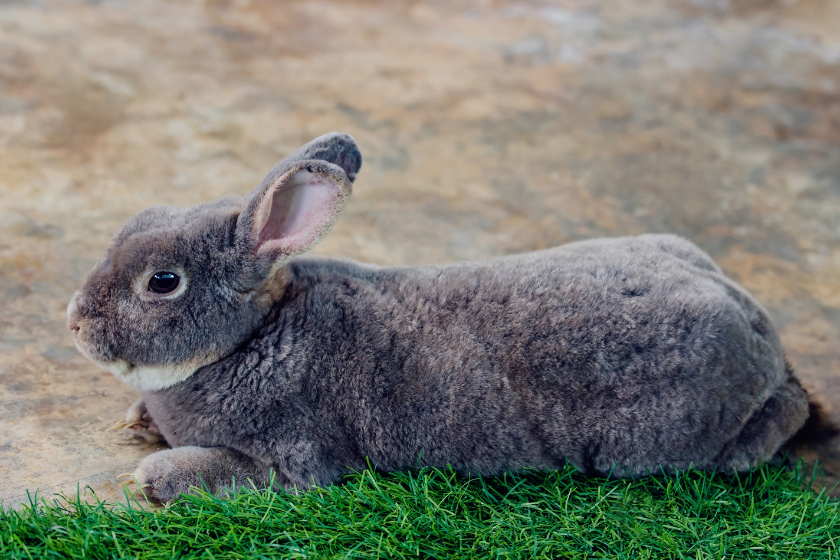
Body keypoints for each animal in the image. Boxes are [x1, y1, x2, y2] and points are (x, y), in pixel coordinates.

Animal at [69, 133, 816, 506]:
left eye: (163, 282)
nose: (74, 323)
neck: (252, 336)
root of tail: (761, 334)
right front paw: (136, 423)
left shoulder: (295, 459)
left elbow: (232, 473)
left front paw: (150, 477)